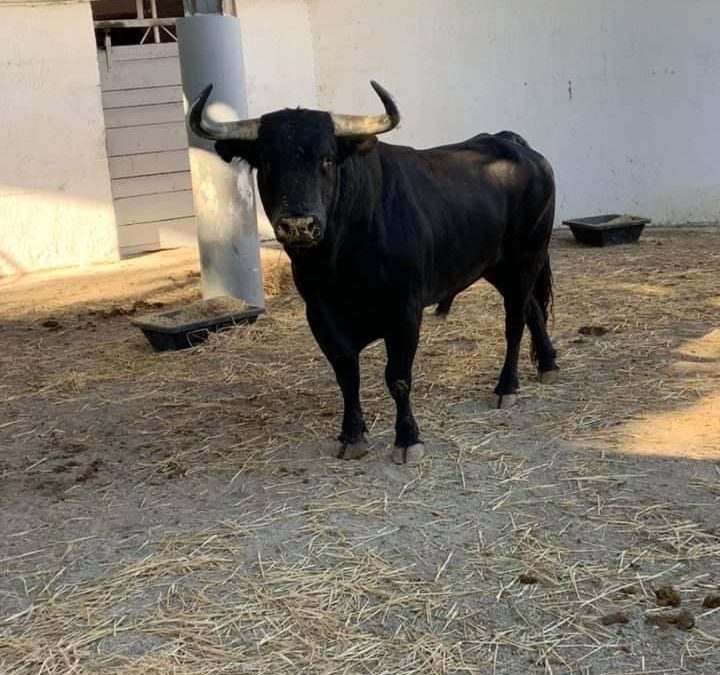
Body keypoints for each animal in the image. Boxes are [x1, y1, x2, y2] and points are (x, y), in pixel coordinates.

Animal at [188, 80, 560, 464]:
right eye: (266, 161)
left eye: (327, 158)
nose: (298, 225)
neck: (341, 261)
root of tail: (513, 143)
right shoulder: (320, 314)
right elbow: (346, 374)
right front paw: (352, 435)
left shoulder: (405, 312)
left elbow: (398, 377)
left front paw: (407, 439)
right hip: (498, 266)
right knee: (532, 309)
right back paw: (547, 365)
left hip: (525, 257)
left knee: (515, 322)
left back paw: (506, 387)